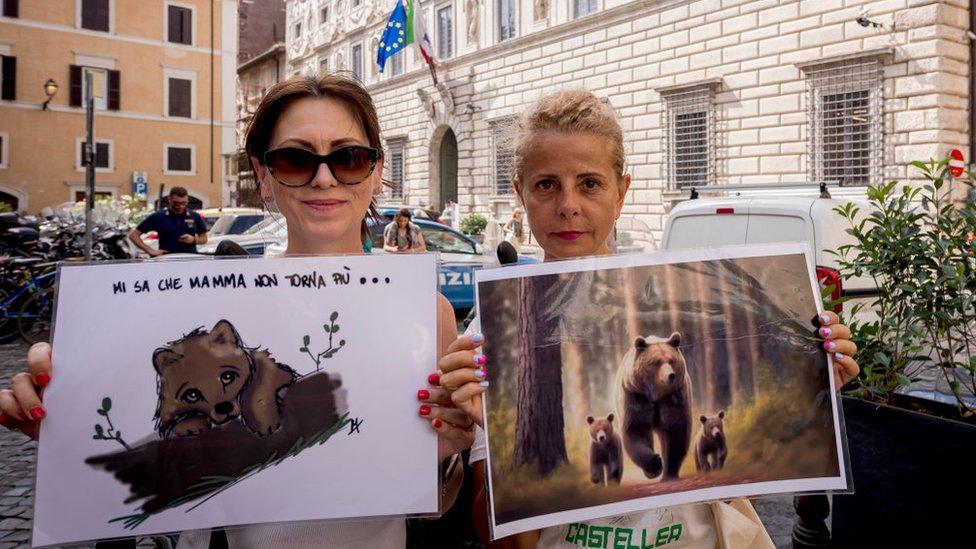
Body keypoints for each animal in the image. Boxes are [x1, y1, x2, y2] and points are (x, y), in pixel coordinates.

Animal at [616, 330, 692, 480]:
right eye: (656, 362)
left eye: (671, 360)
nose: (671, 375)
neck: (656, 395)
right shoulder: (636, 396)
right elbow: (636, 429)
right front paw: (654, 464)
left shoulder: (674, 397)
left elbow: (675, 430)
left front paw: (669, 472)